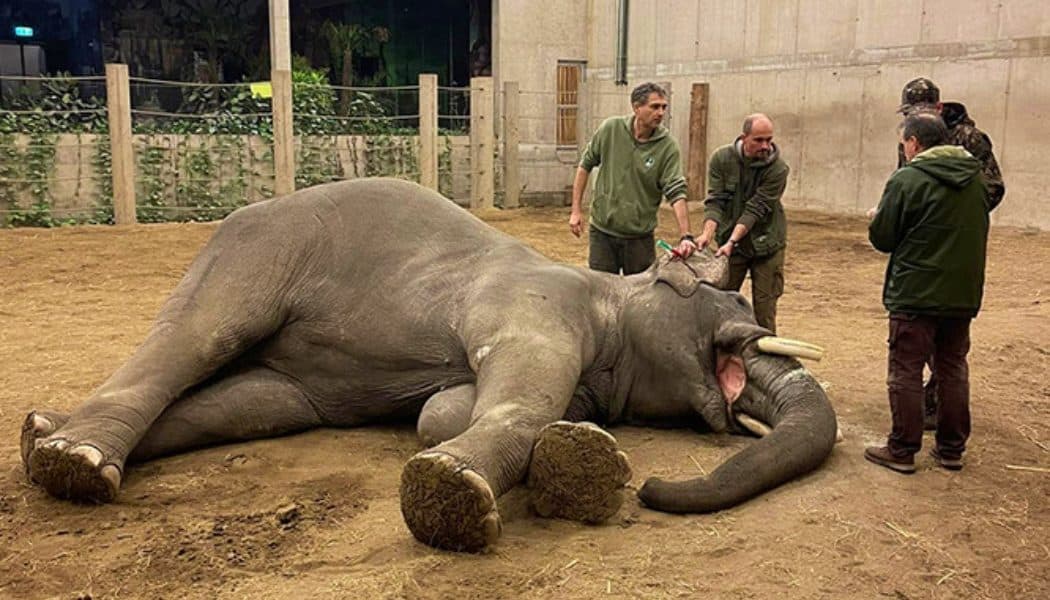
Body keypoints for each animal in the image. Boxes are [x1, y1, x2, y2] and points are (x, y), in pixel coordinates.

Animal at [20, 178, 837, 552]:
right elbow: (521, 392)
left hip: (285, 373)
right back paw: (72, 460)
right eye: (726, 304)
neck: (612, 296)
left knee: (245, 402)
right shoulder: (537, 305)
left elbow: (439, 411)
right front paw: (451, 493)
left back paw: (41, 436)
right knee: (195, 340)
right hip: (258, 254)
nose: (651, 492)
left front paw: (574, 459)